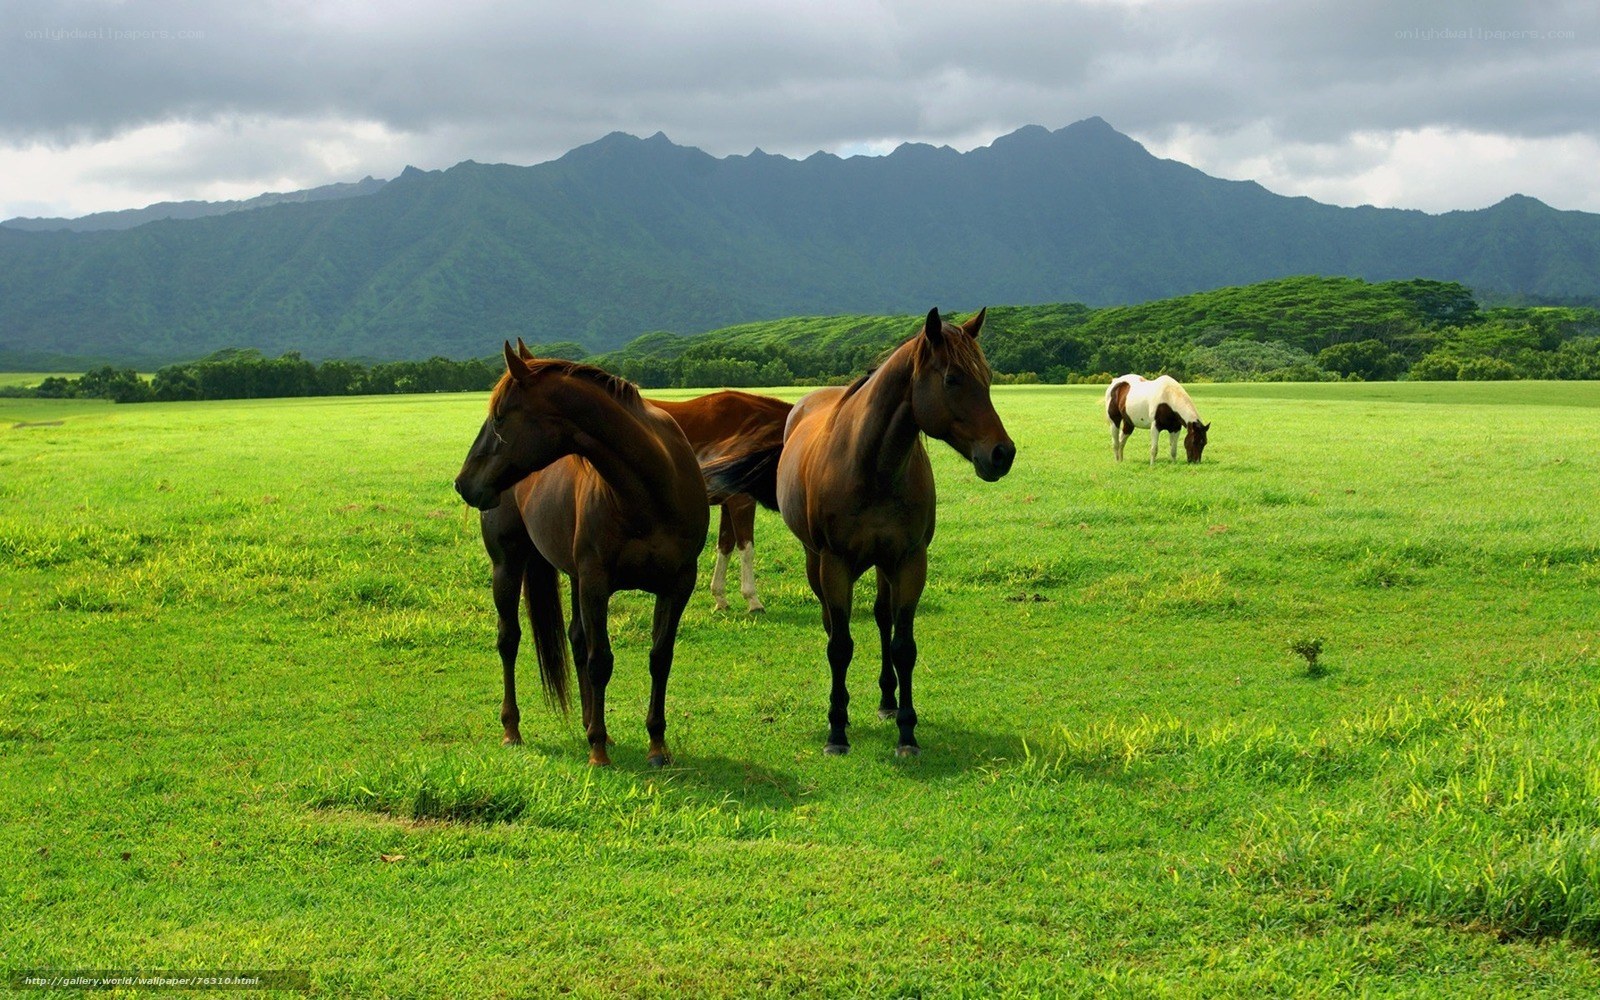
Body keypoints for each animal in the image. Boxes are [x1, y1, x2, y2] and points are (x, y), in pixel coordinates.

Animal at [453, 344, 709, 767]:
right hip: (508, 566)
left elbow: (660, 658)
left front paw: (657, 745)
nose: (463, 484)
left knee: (575, 638)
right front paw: (598, 751)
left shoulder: (677, 585)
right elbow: (600, 660)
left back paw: (590, 722)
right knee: (509, 640)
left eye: (499, 417)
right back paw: (513, 729)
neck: (651, 491)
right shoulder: (596, 582)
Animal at [648, 391, 794, 613]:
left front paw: (720, 598)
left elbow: (725, 546)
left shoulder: (728, 503)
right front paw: (753, 600)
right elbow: (746, 548)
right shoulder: (742, 501)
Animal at [707, 307, 1015, 756]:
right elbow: (840, 646)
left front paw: (907, 731)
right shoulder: (835, 564)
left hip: (884, 566)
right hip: (816, 562)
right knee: (832, 625)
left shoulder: (909, 561)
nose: (1002, 453)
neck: (872, 467)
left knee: (883, 619)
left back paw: (887, 701)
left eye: (987, 377)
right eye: (953, 379)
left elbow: (903, 646)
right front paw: (837, 730)